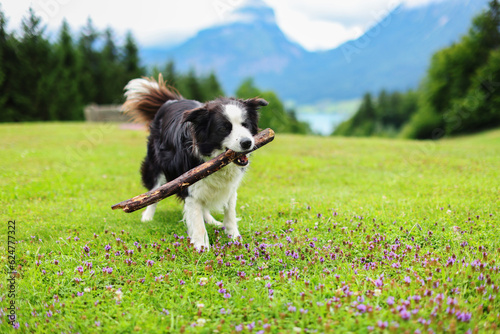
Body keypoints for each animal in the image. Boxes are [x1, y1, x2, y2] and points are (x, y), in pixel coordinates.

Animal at [122, 76, 268, 250]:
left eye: (245, 124)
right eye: (224, 128)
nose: (247, 142)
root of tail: (171, 101)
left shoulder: (230, 187)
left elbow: (230, 212)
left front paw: (235, 239)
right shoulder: (188, 184)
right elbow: (197, 221)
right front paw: (202, 247)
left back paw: (211, 220)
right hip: (156, 164)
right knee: (154, 191)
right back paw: (147, 217)